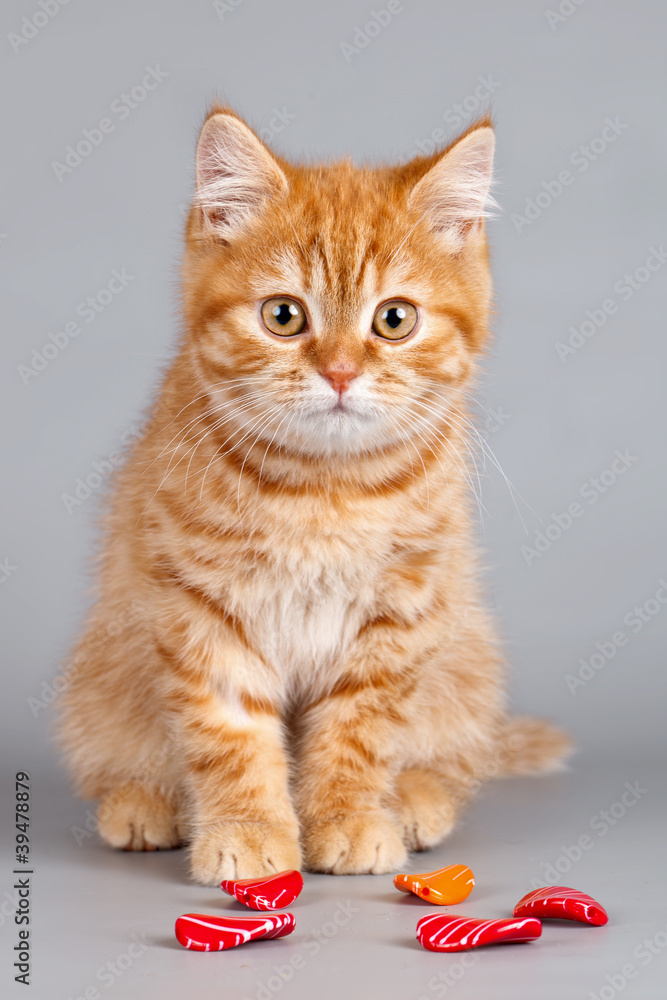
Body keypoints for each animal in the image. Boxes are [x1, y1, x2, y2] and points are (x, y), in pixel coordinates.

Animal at [57, 105, 572, 880]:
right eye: (283, 315)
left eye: (394, 319)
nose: (339, 372)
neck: (323, 491)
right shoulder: (202, 609)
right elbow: (230, 732)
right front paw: (246, 831)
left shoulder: (399, 613)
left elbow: (360, 728)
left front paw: (350, 817)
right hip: (100, 673)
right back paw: (144, 801)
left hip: (466, 657)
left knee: (453, 758)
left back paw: (415, 797)